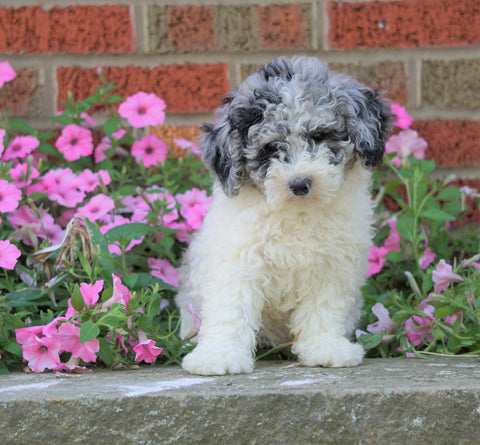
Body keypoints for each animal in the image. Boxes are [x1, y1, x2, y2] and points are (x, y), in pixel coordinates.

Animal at [175, 56, 390, 374]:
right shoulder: (236, 263)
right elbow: (230, 309)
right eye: (270, 148)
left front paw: (326, 348)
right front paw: (219, 356)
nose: (300, 184)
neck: (296, 213)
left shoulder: (331, 267)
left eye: (320, 135)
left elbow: (323, 310)